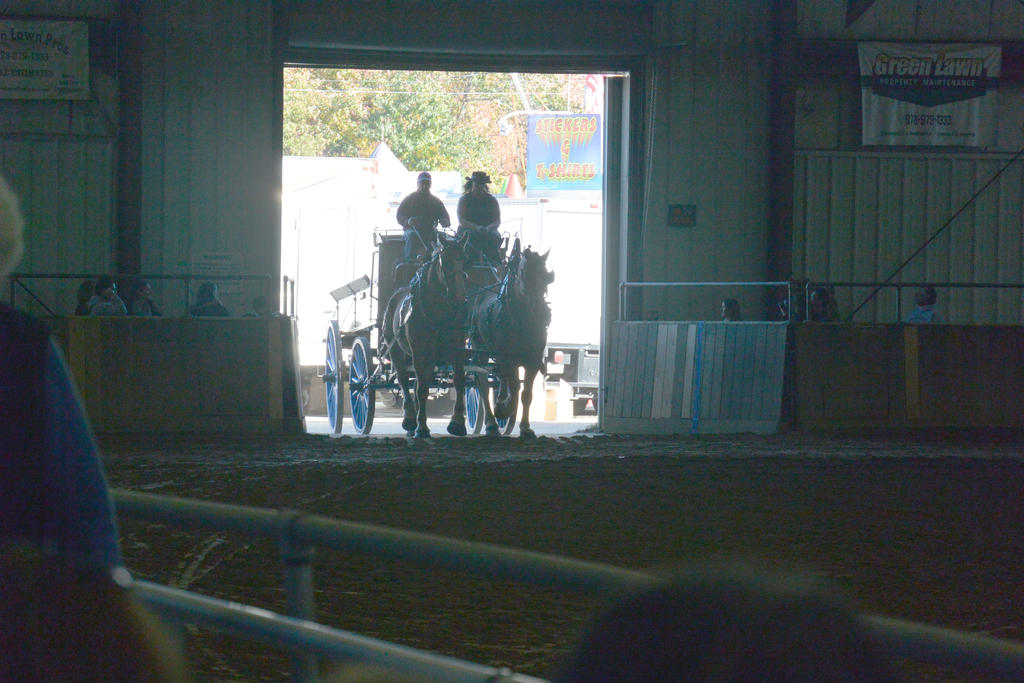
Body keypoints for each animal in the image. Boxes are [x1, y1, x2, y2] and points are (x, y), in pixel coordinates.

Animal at [382, 233, 468, 438]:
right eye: (446, 261)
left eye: (465, 260)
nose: (460, 298)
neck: (439, 312)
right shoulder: (420, 351)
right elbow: (421, 389)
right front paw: (422, 427)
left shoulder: (457, 349)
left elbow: (459, 381)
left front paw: (457, 422)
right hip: (397, 351)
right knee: (404, 380)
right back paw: (410, 418)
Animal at [468, 237, 552, 436]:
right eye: (524, 274)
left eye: (547, 277)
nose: (542, 313)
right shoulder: (509, 359)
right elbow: (515, 386)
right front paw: (503, 409)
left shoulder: (533, 361)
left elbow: (526, 394)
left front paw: (525, 427)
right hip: (480, 349)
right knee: (483, 383)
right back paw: (492, 423)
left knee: (500, 377)